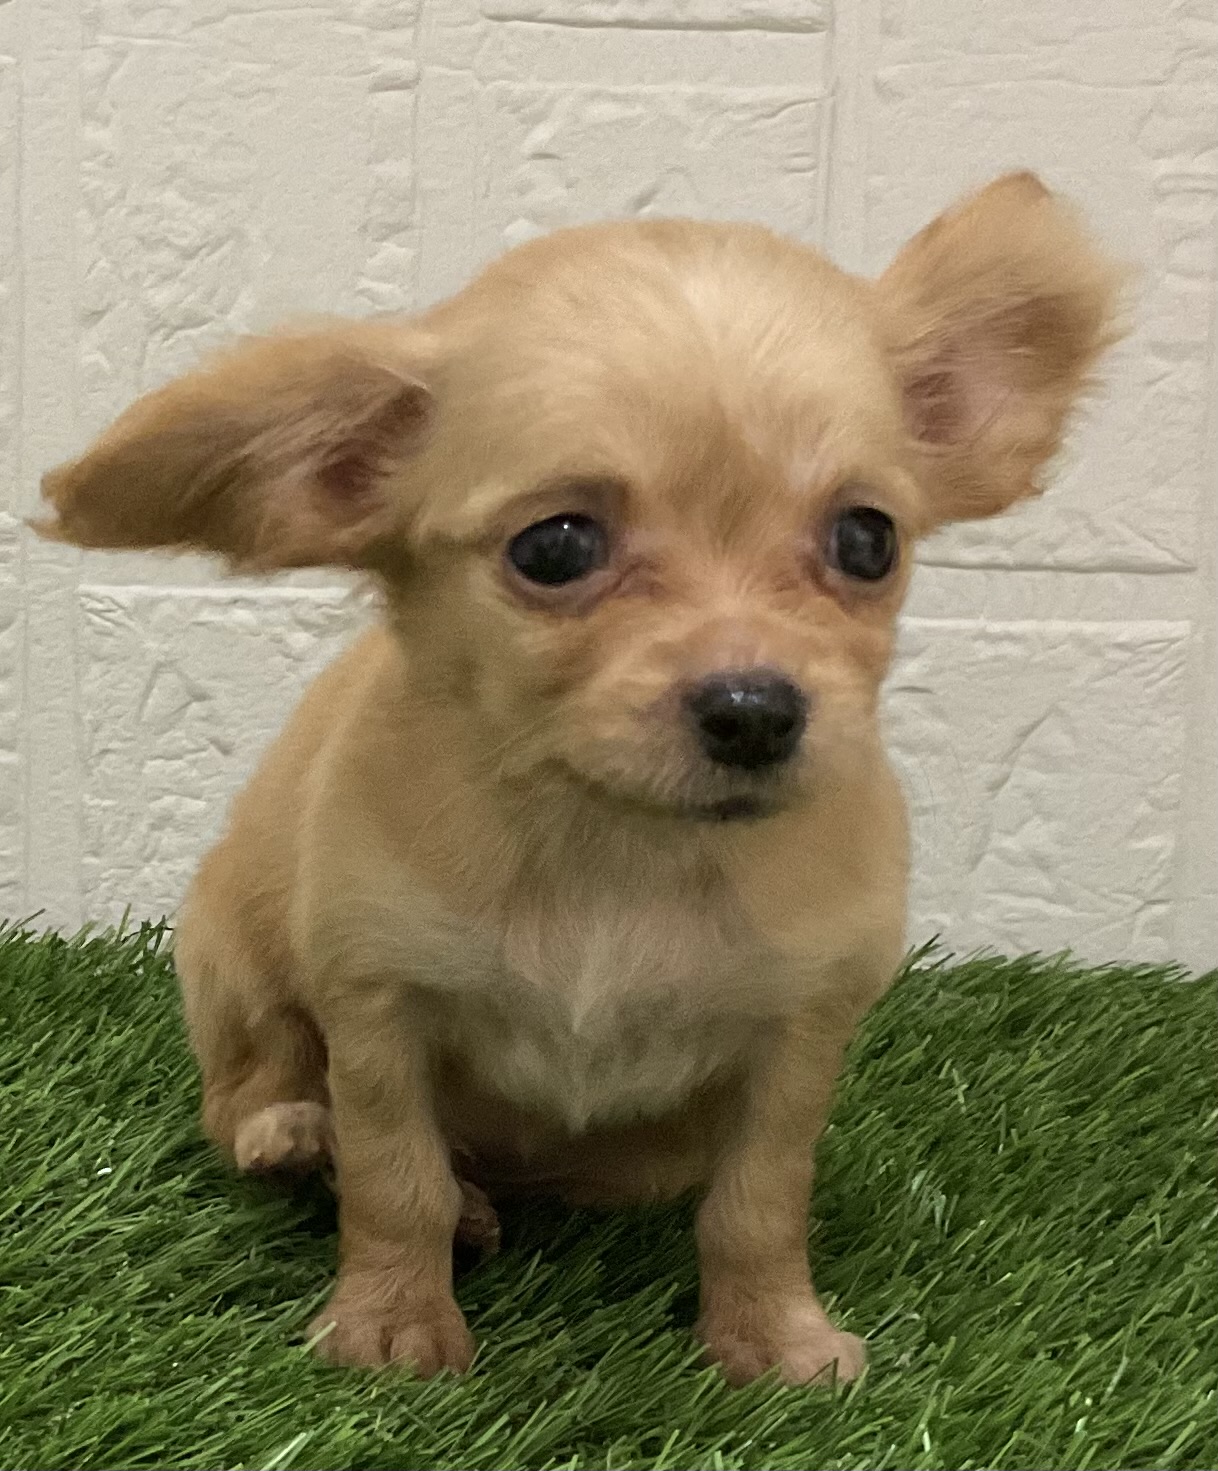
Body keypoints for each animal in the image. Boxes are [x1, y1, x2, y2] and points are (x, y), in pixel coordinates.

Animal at [39, 171, 1121, 1385]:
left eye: (867, 539)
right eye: (554, 547)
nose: (756, 709)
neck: (619, 849)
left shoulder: (797, 1039)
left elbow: (757, 1204)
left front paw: (773, 1337)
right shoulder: (377, 1007)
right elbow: (394, 1178)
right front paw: (391, 1324)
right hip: (226, 946)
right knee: (247, 1092)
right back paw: (303, 1134)